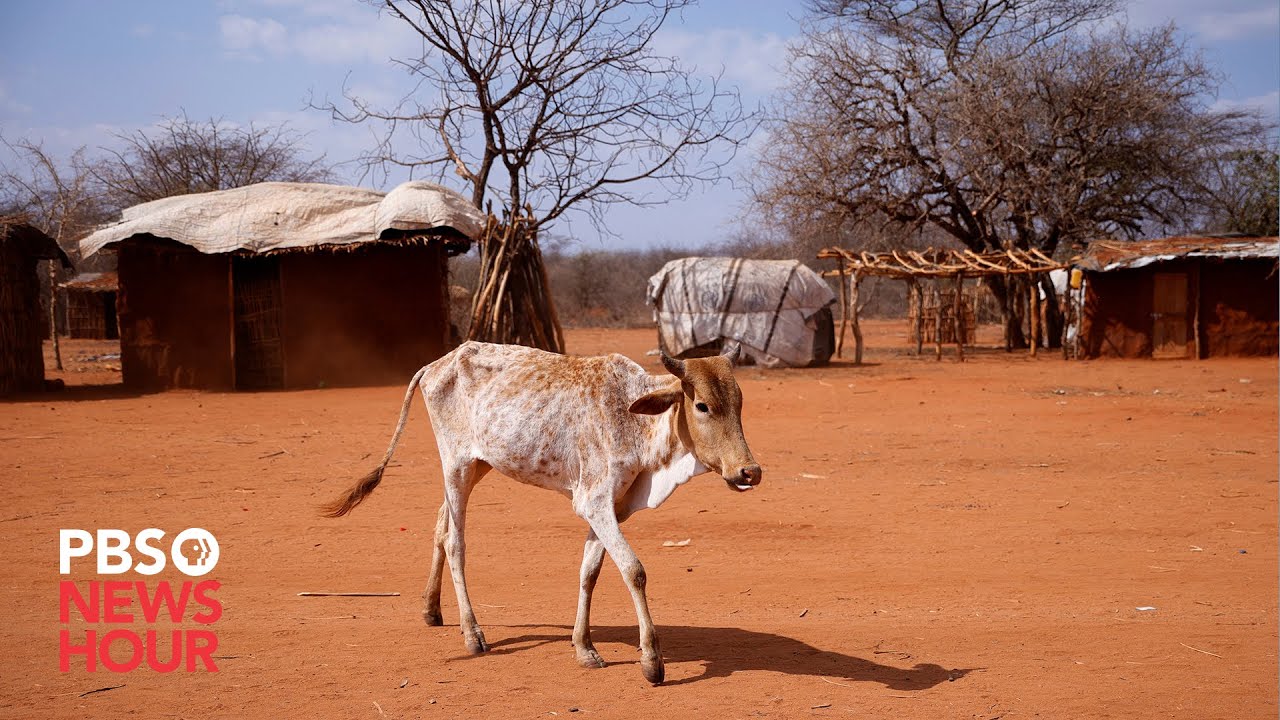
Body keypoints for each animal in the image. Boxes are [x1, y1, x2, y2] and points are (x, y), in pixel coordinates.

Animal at [322, 338, 757, 681]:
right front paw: (652, 661)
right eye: (701, 405)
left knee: (439, 526)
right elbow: (634, 571)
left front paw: (583, 647)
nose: (749, 471)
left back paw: (432, 609)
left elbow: (589, 573)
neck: (638, 421)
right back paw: (472, 633)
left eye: (738, 403)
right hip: (456, 464)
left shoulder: (608, 508)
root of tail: (437, 363)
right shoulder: (596, 502)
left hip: (476, 465)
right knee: (455, 542)